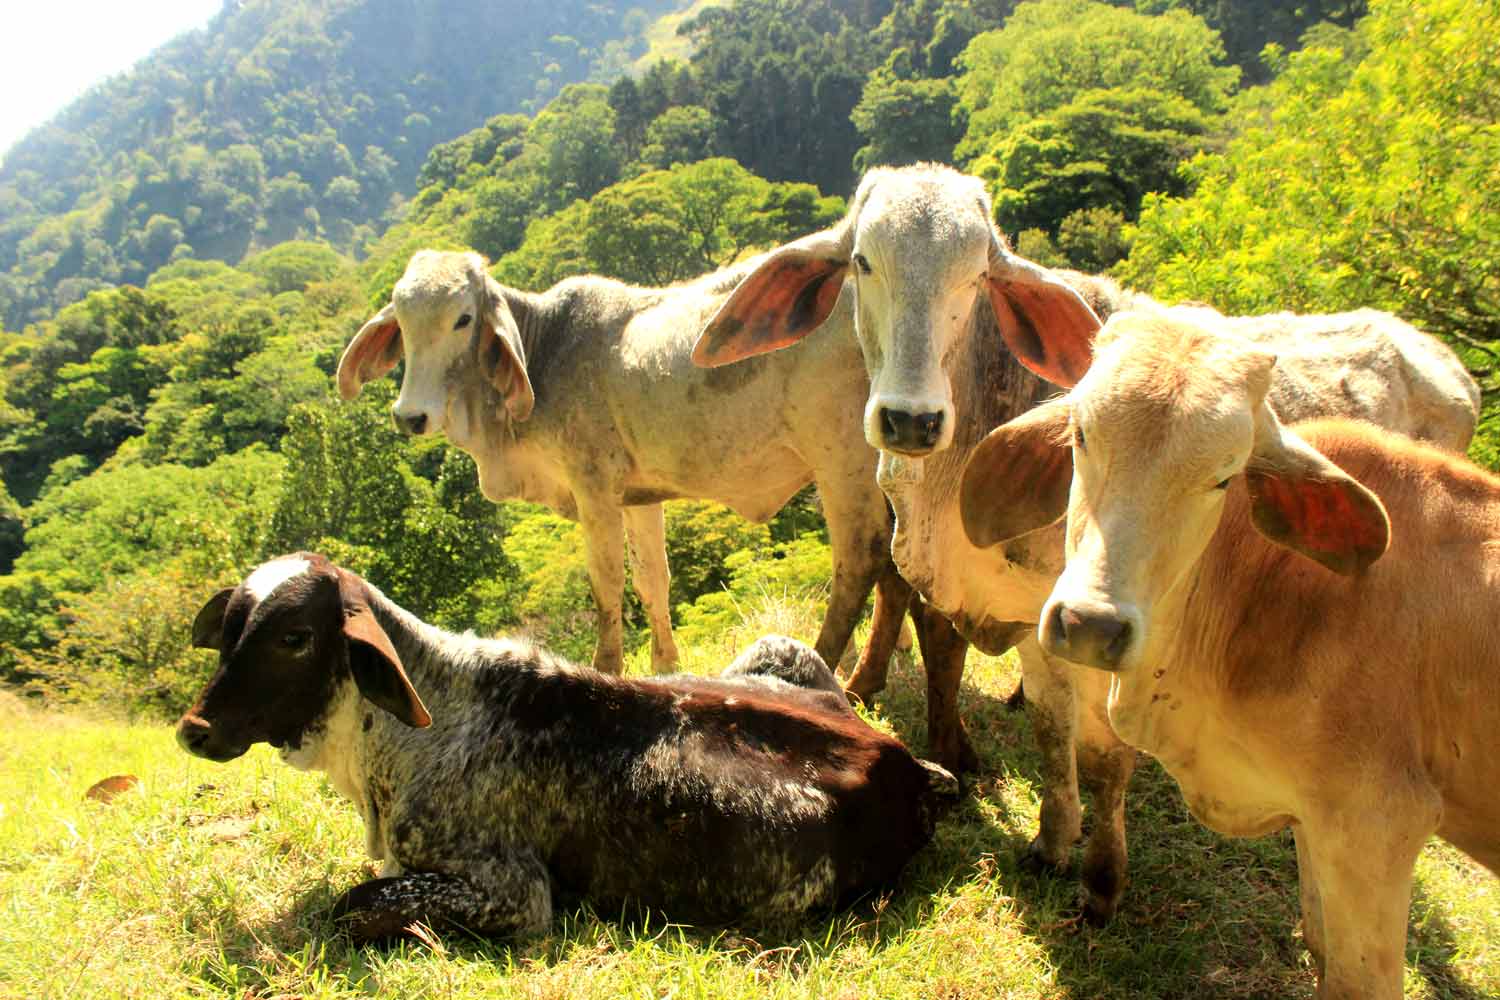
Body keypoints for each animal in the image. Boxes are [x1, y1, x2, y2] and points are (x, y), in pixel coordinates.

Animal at [176, 553, 959, 940]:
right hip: (781, 648)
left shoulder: (515, 895)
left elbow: (354, 905)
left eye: (294, 637)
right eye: (232, 625)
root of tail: (909, 767)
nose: (195, 730)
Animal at [336, 248, 908, 680]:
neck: (545, 350)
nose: (410, 415)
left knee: (862, 554)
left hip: (842, 461)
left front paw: (606, 667)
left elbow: (607, 582)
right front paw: (666, 665)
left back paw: (829, 667)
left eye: (462, 318)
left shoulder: (594, 488)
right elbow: (653, 580)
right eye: (401, 320)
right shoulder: (639, 498)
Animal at [692, 161, 1479, 923]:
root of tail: (1437, 357)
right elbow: (1047, 726)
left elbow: (1103, 757)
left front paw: (1101, 879)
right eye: (862, 262)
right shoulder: (1033, 621)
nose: (911, 420)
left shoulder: (1095, 627)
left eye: (977, 276)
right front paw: (1051, 837)